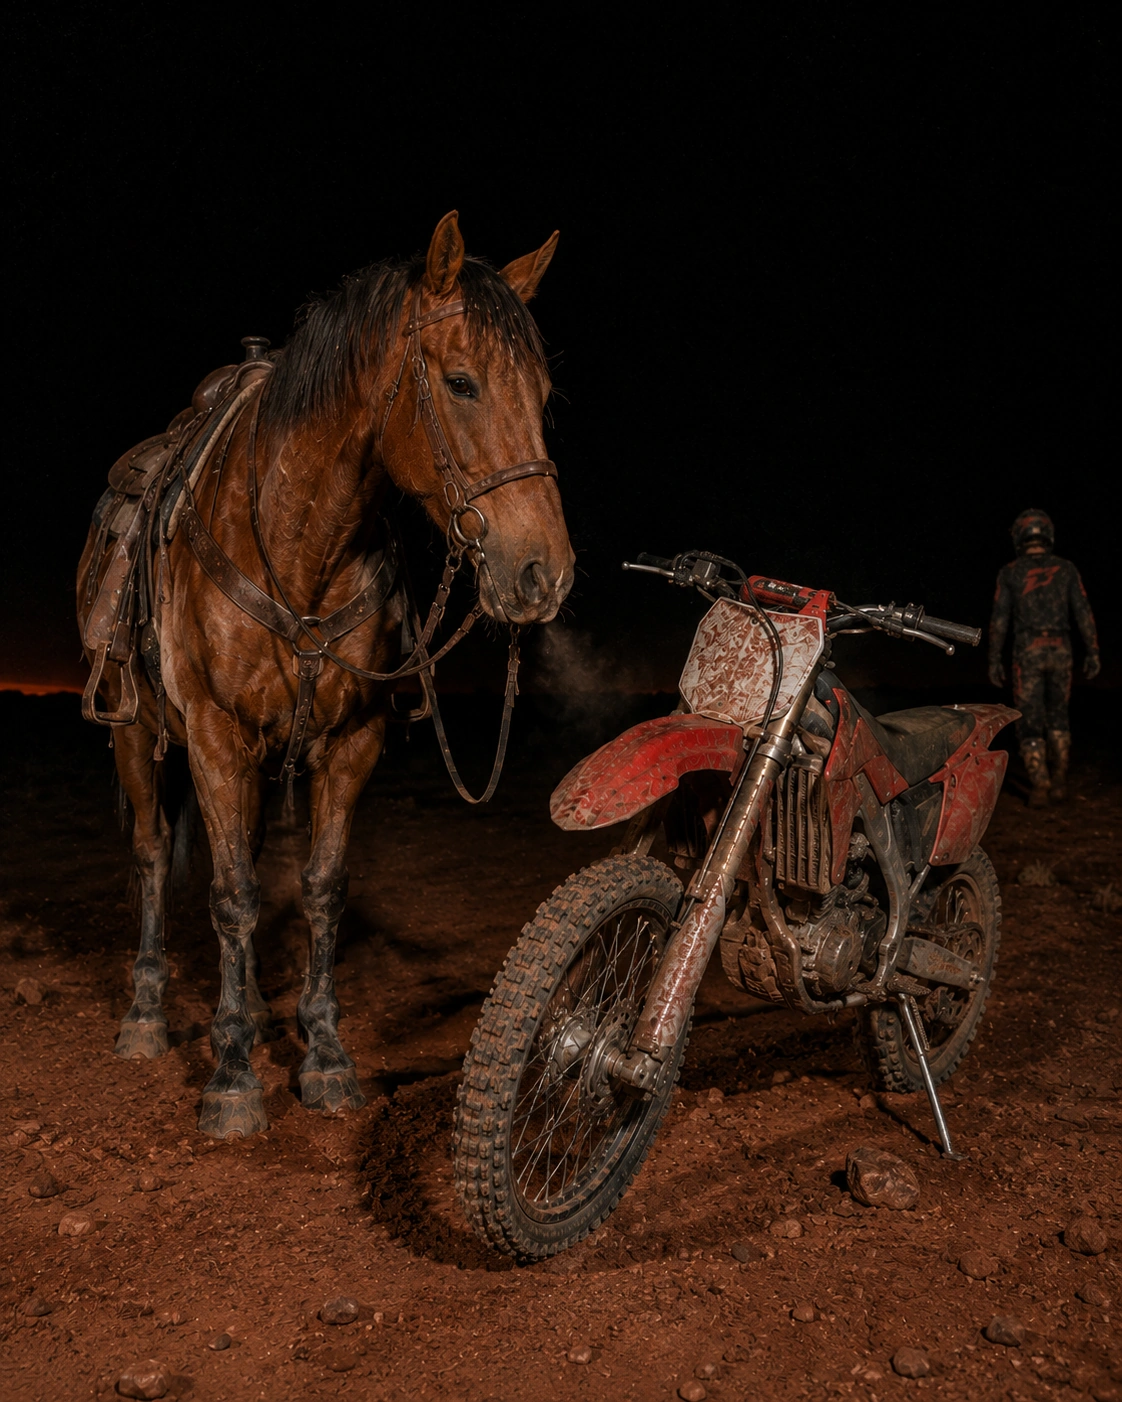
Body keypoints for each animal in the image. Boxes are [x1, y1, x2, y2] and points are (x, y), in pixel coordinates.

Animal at [76, 212, 574, 1139]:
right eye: (462, 383)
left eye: (543, 396)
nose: (543, 574)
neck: (298, 543)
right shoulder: (215, 738)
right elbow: (231, 894)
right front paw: (233, 1078)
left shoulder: (349, 745)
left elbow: (319, 890)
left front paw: (323, 1056)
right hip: (137, 733)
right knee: (155, 857)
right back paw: (147, 1015)